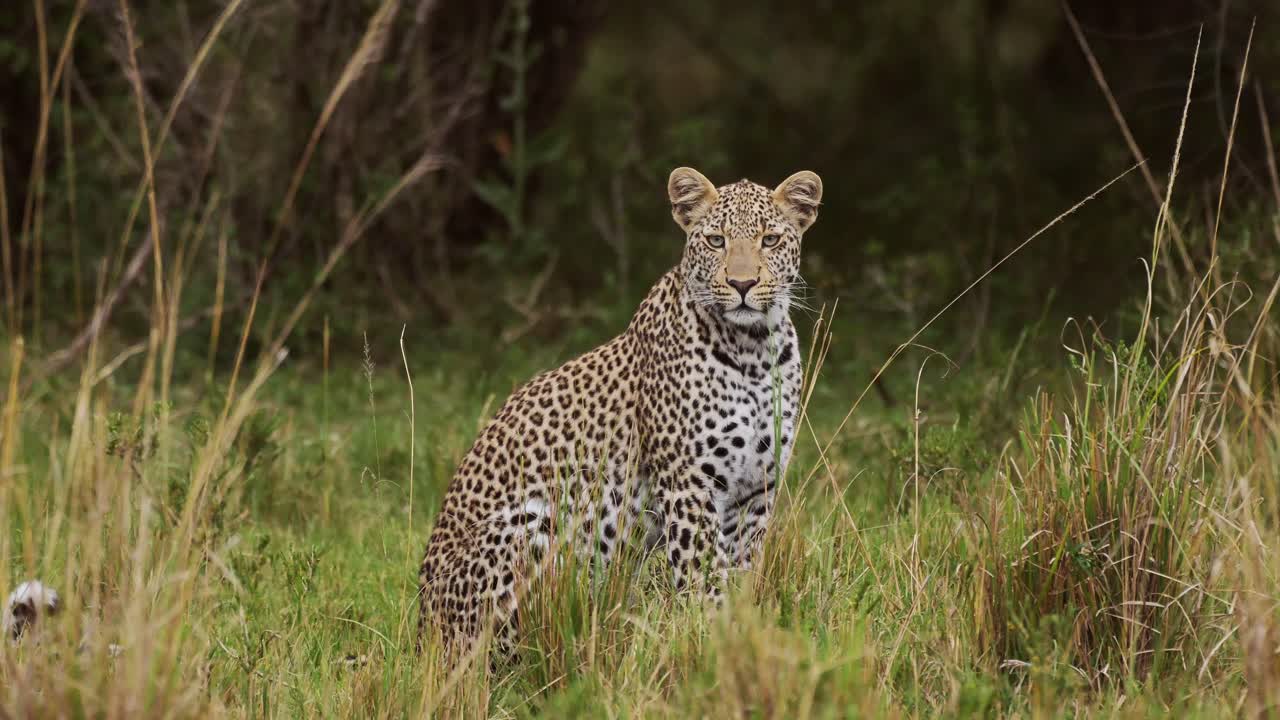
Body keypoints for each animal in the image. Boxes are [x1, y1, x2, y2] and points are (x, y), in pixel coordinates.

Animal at [417, 166, 822, 664]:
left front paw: (740, 636)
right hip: (532, 524)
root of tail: (420, 631)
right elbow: (702, 576)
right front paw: (709, 642)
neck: (753, 352)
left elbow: (740, 573)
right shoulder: (689, 484)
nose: (742, 285)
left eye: (769, 240)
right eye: (715, 240)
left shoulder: (755, 490)